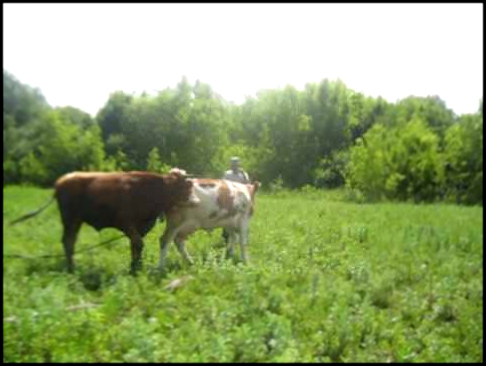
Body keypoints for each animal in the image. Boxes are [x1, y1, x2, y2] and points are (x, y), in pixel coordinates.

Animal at [10, 169, 193, 274]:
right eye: (186, 187)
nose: (193, 199)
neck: (154, 190)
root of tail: (61, 182)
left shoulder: (138, 228)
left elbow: (135, 246)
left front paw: (136, 267)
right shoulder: (126, 223)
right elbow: (138, 244)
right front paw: (135, 268)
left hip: (75, 222)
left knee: (70, 241)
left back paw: (71, 267)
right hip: (70, 220)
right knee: (68, 241)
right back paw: (71, 269)